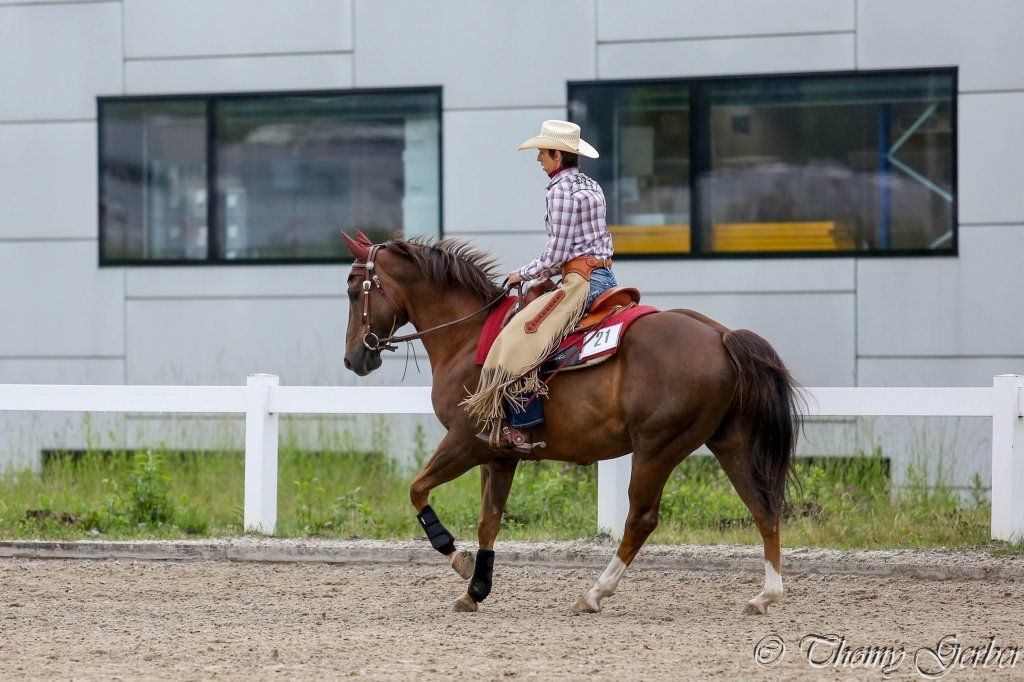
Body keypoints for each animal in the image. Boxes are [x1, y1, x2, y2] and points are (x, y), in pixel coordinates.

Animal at [341, 232, 802, 615]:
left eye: (351, 290)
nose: (353, 358)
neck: (469, 338)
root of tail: (721, 336)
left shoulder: (465, 442)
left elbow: (417, 489)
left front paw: (457, 558)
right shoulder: (499, 455)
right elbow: (489, 521)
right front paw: (475, 590)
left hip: (656, 448)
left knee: (641, 519)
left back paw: (594, 594)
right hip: (730, 444)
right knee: (763, 507)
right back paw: (766, 595)